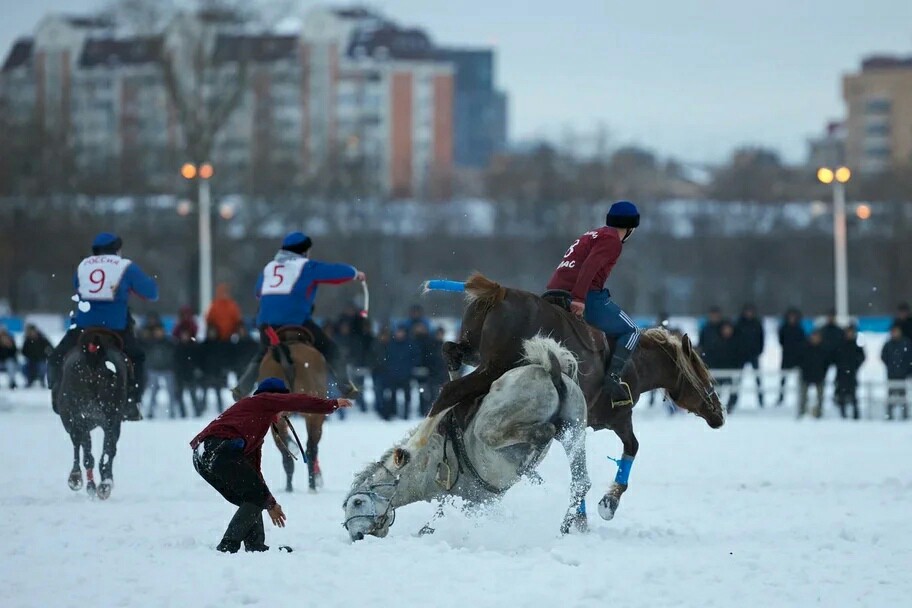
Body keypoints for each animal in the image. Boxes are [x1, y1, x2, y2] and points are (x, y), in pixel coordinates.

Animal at [256, 326, 328, 492]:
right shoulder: (316, 416)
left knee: (285, 452)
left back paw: (289, 487)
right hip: (312, 415)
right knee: (310, 449)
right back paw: (311, 486)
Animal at [428, 274, 728, 520]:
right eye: (706, 376)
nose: (719, 414)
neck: (636, 364)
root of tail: (500, 292)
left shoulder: (575, 424)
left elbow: (582, 467)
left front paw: (580, 515)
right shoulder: (618, 418)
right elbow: (631, 448)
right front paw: (607, 504)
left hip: (474, 354)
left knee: (451, 359)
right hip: (491, 368)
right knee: (450, 392)